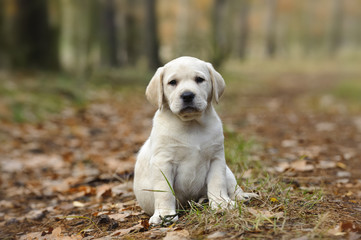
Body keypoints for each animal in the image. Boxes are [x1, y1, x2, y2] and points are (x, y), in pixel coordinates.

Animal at [133, 56, 256, 225]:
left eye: (199, 79)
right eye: (172, 82)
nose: (187, 95)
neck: (191, 125)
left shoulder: (216, 158)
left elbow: (217, 183)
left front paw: (221, 204)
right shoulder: (163, 162)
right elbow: (164, 191)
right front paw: (164, 215)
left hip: (228, 170)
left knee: (232, 185)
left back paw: (241, 196)